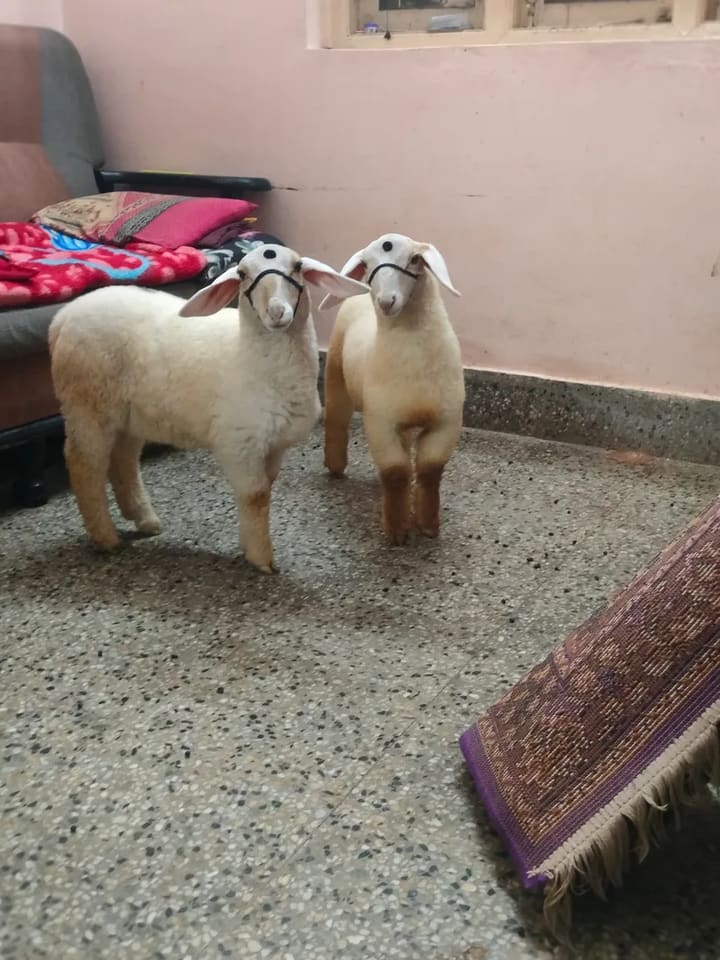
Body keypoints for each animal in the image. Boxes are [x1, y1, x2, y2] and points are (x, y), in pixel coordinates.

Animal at [49, 244, 369, 573]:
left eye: (297, 266)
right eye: (241, 273)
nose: (277, 312)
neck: (250, 355)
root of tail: (63, 317)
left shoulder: (273, 446)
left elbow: (264, 491)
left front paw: (248, 544)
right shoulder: (239, 443)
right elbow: (256, 496)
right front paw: (262, 559)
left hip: (128, 415)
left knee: (123, 461)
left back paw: (144, 520)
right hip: (87, 405)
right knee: (84, 464)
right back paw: (105, 537)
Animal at [320, 233, 464, 546]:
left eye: (414, 259)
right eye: (365, 264)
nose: (387, 301)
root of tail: (361, 293)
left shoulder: (446, 423)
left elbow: (429, 471)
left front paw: (427, 525)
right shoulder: (380, 424)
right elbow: (396, 473)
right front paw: (396, 531)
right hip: (336, 374)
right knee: (336, 422)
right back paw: (335, 466)